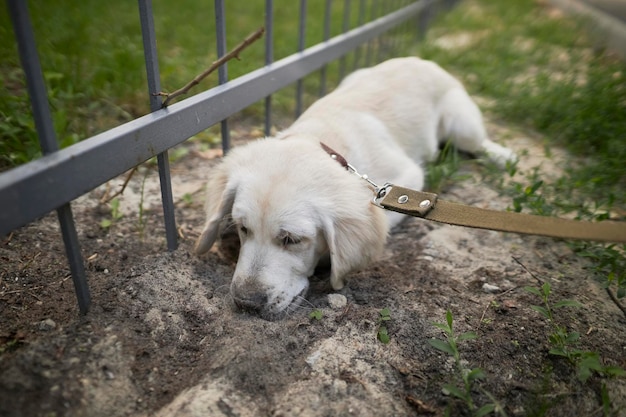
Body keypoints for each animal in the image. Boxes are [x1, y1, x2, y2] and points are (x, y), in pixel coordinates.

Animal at [193, 56, 516, 318]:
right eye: (243, 228)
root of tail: (421, 59)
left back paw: (504, 156)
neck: (323, 140)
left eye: (292, 240)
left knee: (479, 143)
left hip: (462, 125)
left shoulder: (406, 182)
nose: (245, 303)